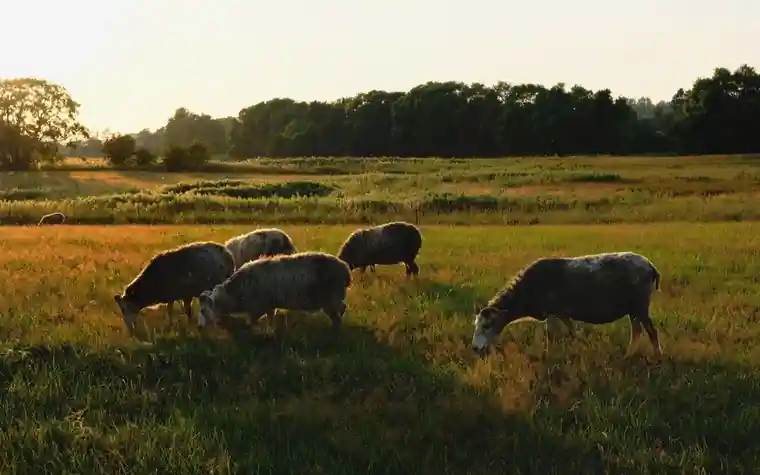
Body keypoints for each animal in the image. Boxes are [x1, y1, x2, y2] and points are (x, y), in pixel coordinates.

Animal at [197, 251, 352, 334]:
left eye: (203, 310)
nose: (198, 327)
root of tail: (345, 269)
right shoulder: (269, 305)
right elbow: (271, 317)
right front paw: (271, 329)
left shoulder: (259, 306)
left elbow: (250, 321)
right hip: (334, 298)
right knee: (342, 308)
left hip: (330, 298)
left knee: (337, 316)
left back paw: (334, 332)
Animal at [471, 251, 662, 357]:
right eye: (476, 325)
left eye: (487, 326)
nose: (474, 348)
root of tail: (650, 265)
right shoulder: (562, 313)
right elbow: (573, 332)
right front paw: (584, 346)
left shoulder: (551, 312)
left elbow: (550, 335)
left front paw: (549, 356)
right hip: (633, 308)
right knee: (636, 331)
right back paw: (629, 355)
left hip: (640, 305)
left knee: (651, 331)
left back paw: (658, 356)